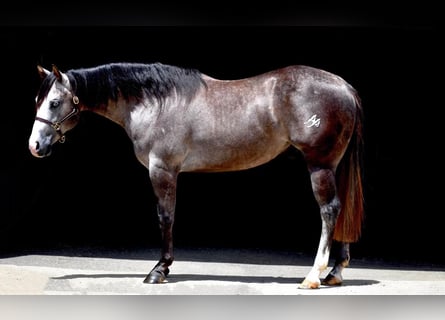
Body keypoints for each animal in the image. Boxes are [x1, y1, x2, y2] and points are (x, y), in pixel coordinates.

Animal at [29, 61, 364, 288]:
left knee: (329, 211)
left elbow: (166, 217)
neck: (156, 103)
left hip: (319, 166)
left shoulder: (162, 169)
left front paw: (159, 270)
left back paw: (313, 276)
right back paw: (335, 272)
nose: (35, 146)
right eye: (37, 101)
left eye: (55, 102)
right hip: (335, 166)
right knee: (341, 210)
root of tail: (345, 87)